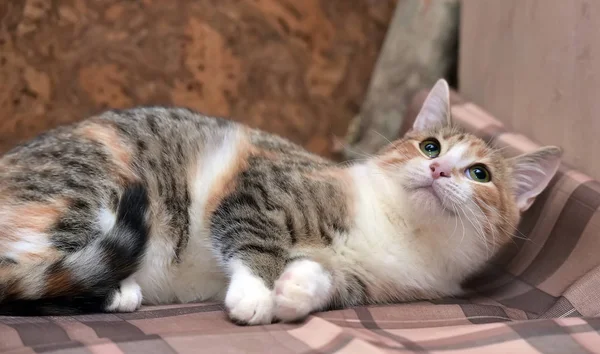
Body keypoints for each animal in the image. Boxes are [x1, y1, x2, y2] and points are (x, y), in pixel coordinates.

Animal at [0, 79, 564, 324]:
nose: (439, 169)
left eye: (480, 174)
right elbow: (256, 240)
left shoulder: (369, 283)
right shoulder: (261, 183)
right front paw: (257, 295)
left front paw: (296, 292)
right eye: (430, 146)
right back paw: (117, 289)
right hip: (93, 189)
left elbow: (329, 282)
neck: (403, 232)